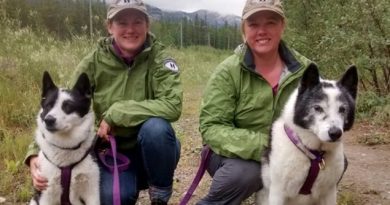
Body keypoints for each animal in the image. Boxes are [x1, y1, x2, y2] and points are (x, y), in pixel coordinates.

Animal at [258, 64, 358, 205]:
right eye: (318, 108)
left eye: (342, 109)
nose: (335, 133)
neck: (314, 155)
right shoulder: (278, 193)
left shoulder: (329, 193)